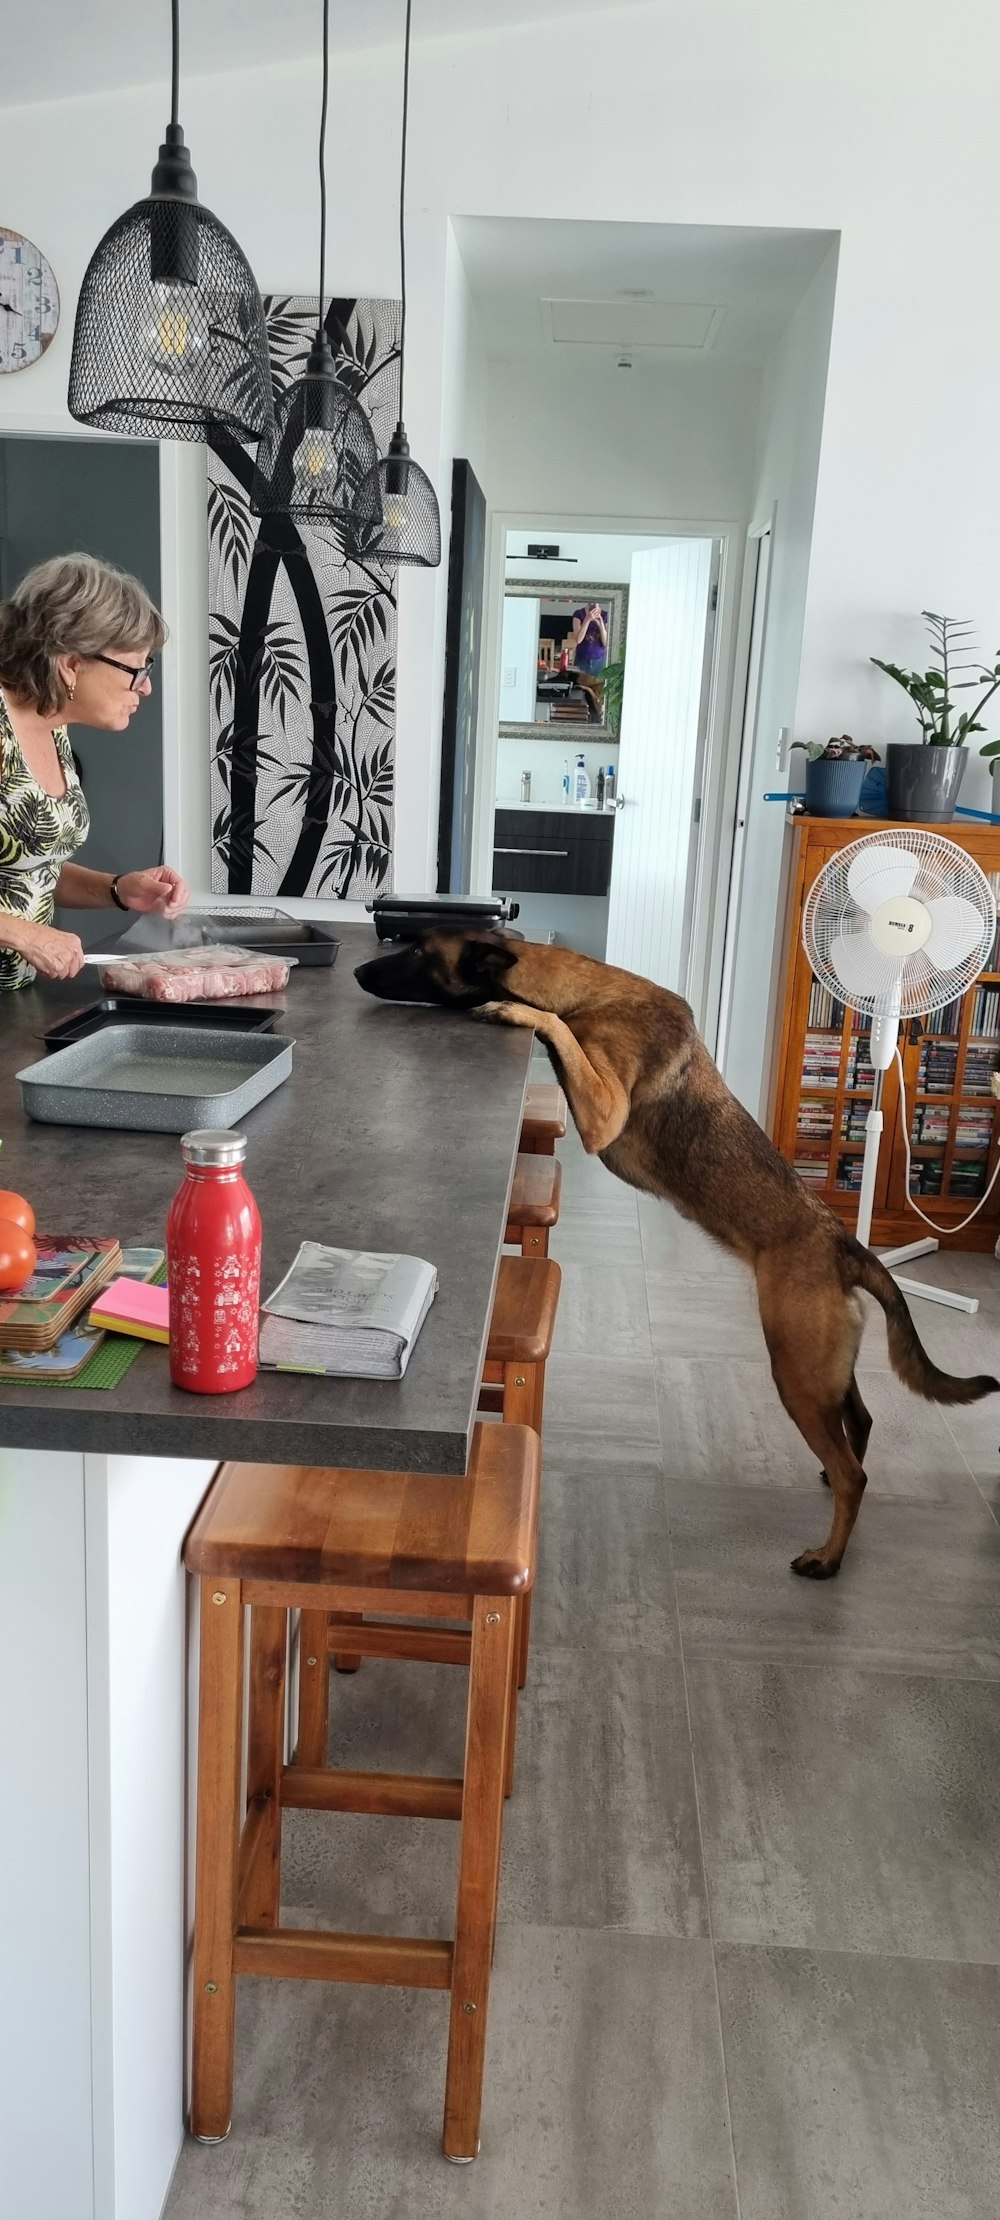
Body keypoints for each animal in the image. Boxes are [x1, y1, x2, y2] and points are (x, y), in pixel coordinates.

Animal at [355, 932, 995, 1580]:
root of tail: (846, 1244)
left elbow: (558, 1032)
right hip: (823, 1367)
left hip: (796, 1372)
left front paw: (517, 1014)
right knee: (858, 1426)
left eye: (418, 951)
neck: (587, 992)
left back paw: (829, 1556)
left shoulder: (603, 1110)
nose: (356, 972)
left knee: (854, 1475)